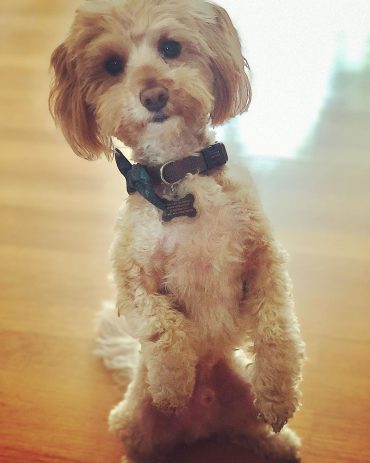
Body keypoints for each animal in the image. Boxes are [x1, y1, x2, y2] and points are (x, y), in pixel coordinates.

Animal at [49, 1, 304, 462]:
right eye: (113, 65)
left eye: (170, 47)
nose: (153, 94)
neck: (178, 172)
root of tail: (202, 424)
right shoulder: (133, 280)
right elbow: (165, 326)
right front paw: (172, 384)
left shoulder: (262, 257)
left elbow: (277, 327)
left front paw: (278, 394)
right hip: (132, 424)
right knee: (143, 446)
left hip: (241, 398)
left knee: (251, 428)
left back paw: (279, 441)